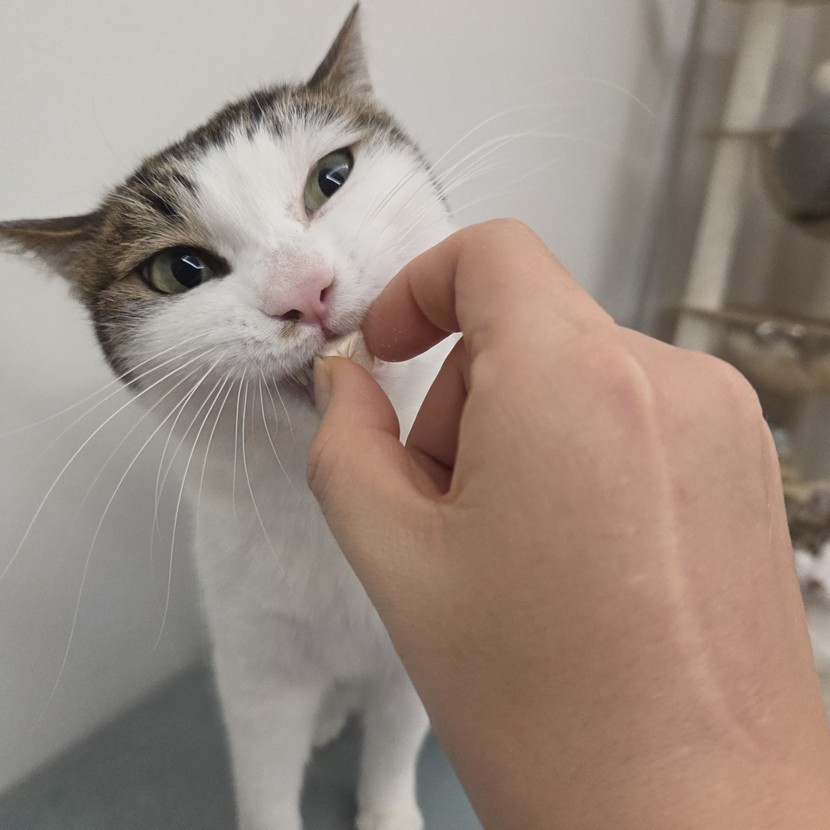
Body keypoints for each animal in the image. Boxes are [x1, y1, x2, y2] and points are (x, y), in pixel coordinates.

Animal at [0, 6, 455, 829]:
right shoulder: (253, 660)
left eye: (332, 177)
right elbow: (265, 765)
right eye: (180, 271)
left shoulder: (419, 646)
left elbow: (395, 740)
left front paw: (387, 811)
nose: (304, 290)